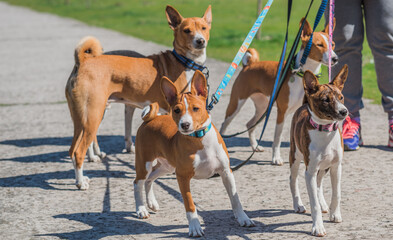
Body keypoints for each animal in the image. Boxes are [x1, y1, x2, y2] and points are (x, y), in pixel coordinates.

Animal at [65, 4, 211, 190]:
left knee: (74, 148)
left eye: (204, 28)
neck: (185, 62)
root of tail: (82, 62)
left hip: (83, 117)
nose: (200, 41)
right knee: (78, 151)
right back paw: (80, 182)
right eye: (187, 30)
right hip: (93, 114)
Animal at [132, 70, 254, 237]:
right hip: (145, 163)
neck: (200, 139)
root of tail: (152, 119)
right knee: (138, 182)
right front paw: (195, 227)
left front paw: (243, 218)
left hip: (167, 167)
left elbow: (235, 199)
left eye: (195, 108)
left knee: (150, 179)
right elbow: (190, 205)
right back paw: (141, 209)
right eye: (176, 110)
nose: (185, 124)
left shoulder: (226, 171)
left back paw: (151, 203)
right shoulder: (182, 177)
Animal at [220, 18, 336, 166]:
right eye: (319, 45)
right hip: (236, 104)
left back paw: (255, 147)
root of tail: (249, 65)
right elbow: (278, 138)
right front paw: (276, 158)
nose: (335, 59)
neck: (302, 76)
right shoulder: (282, 112)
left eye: (332, 44)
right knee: (224, 125)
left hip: (263, 107)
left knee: (250, 124)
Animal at [288, 64, 346, 237]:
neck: (325, 131)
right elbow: (313, 204)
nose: (344, 111)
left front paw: (335, 214)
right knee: (293, 180)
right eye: (325, 100)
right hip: (295, 157)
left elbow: (336, 194)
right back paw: (298, 204)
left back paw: (323, 204)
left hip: (324, 167)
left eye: (341, 97)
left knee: (319, 183)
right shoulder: (310, 171)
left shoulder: (336, 167)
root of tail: (303, 105)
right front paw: (318, 227)